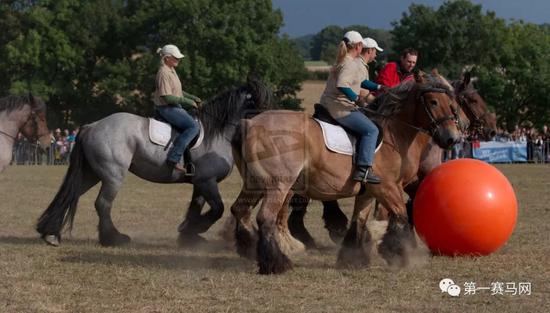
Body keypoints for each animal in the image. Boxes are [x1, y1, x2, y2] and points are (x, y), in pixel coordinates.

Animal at [36, 78, 274, 246]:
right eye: (257, 100)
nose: (269, 125)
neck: (218, 133)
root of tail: (92, 126)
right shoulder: (207, 181)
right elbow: (217, 209)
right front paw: (195, 230)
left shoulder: (200, 182)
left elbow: (195, 207)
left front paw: (188, 234)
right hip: (113, 175)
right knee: (102, 204)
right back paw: (114, 238)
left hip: (92, 173)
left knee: (72, 195)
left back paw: (50, 233)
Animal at [231, 72, 464, 272]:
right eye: (433, 102)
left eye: (452, 103)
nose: (452, 138)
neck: (394, 134)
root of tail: (250, 122)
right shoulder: (388, 188)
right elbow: (401, 216)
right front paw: (398, 254)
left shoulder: (368, 192)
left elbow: (358, 221)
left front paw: (354, 259)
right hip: (279, 186)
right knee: (265, 218)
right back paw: (276, 262)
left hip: (255, 184)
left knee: (240, 210)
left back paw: (249, 249)